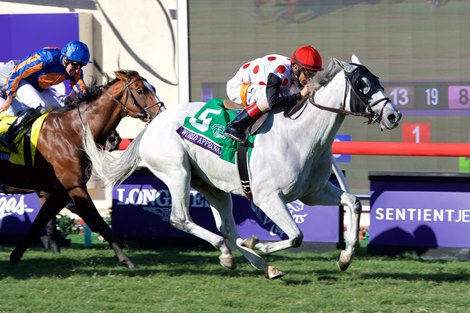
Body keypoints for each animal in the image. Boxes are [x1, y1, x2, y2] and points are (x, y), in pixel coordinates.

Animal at [0, 69, 163, 266]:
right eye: (140, 91)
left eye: (153, 87)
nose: (161, 113)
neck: (71, 132)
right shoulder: (75, 187)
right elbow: (100, 223)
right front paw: (126, 260)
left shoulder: (59, 193)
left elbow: (39, 224)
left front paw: (15, 256)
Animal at [84, 55, 400, 278]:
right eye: (362, 85)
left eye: (377, 80)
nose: (393, 116)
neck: (302, 135)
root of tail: (152, 125)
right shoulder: (268, 197)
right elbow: (296, 236)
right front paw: (258, 243)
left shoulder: (313, 192)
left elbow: (353, 203)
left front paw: (345, 258)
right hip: (177, 172)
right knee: (182, 219)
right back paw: (229, 251)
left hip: (211, 185)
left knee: (228, 228)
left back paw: (261, 265)